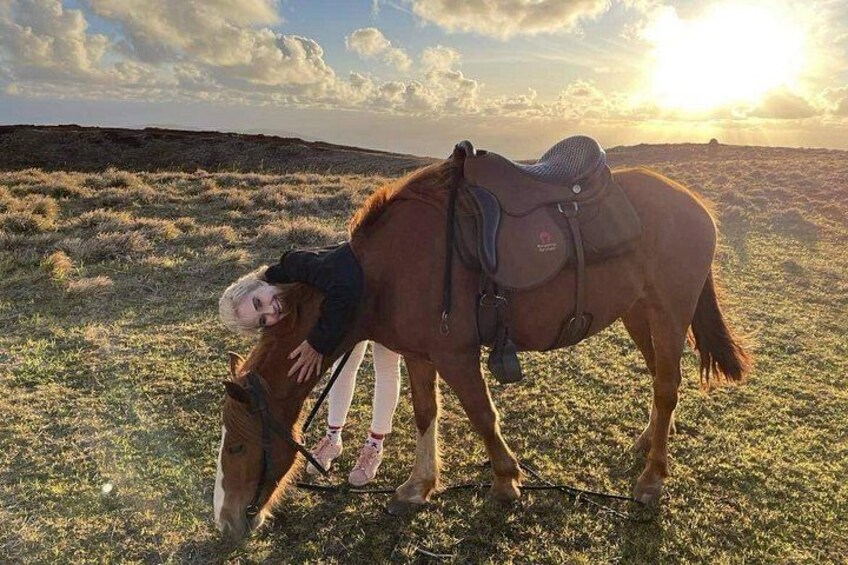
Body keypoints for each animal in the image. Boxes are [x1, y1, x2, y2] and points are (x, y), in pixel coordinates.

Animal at [213, 144, 750, 539]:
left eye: (236, 447)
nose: (228, 522)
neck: (379, 274)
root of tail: (695, 204)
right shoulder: (419, 354)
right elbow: (425, 413)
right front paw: (418, 486)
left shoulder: (456, 355)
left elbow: (481, 415)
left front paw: (506, 481)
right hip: (639, 314)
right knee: (662, 381)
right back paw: (646, 443)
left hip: (669, 313)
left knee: (667, 385)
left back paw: (652, 478)